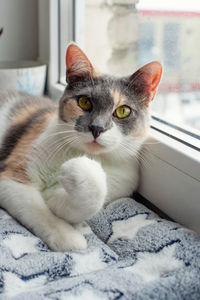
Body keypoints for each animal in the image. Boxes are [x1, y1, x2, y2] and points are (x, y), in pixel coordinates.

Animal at [0, 43, 162, 252]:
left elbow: (83, 200)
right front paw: (67, 237)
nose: (97, 128)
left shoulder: (121, 181)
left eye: (123, 111)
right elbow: (37, 210)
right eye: (84, 101)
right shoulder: (14, 175)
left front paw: (74, 171)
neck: (80, 152)